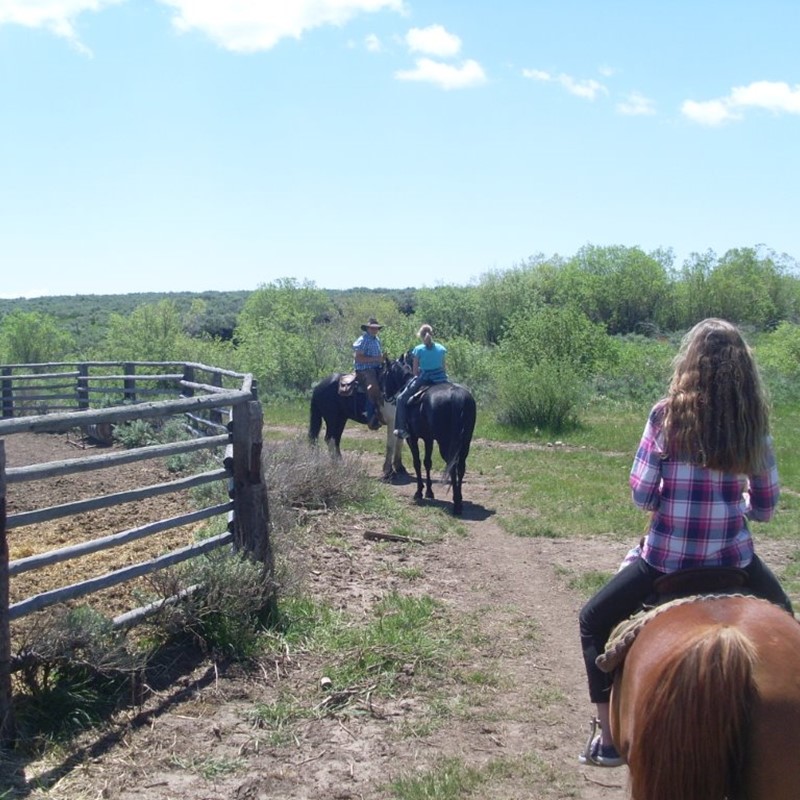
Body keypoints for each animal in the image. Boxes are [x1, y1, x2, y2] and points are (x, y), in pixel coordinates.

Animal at [383, 363, 476, 515]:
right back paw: (459, 500)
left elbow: (417, 462)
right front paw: (429, 492)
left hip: (446, 443)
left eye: (385, 374)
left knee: (452, 466)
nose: (385, 395)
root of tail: (456, 396)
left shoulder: (412, 438)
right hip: (465, 443)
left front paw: (419, 492)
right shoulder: (429, 439)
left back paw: (456, 504)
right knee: (461, 467)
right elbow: (427, 462)